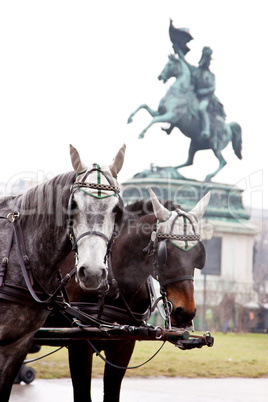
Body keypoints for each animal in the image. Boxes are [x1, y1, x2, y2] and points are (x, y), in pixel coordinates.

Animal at [126, 53, 242, 181]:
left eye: (169, 64)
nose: (160, 76)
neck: (179, 92)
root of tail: (228, 127)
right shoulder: (159, 112)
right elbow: (143, 106)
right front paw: (130, 118)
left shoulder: (170, 116)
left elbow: (153, 120)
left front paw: (141, 133)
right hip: (194, 145)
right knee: (189, 162)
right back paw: (170, 169)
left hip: (215, 146)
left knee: (223, 162)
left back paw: (207, 177)